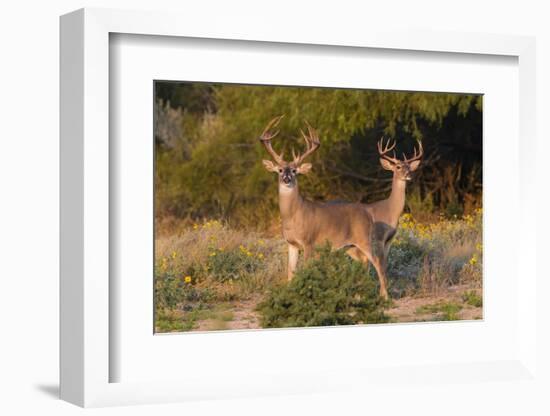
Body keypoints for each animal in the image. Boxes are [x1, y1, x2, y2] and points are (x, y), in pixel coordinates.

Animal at [260, 117, 424, 300]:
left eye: (295, 171)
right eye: (280, 170)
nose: (287, 178)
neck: (294, 216)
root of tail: (367, 215)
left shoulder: (309, 242)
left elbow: (305, 270)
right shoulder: (291, 244)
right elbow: (290, 274)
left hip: (364, 240)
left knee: (378, 263)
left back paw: (384, 297)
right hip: (351, 246)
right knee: (367, 262)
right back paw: (361, 294)